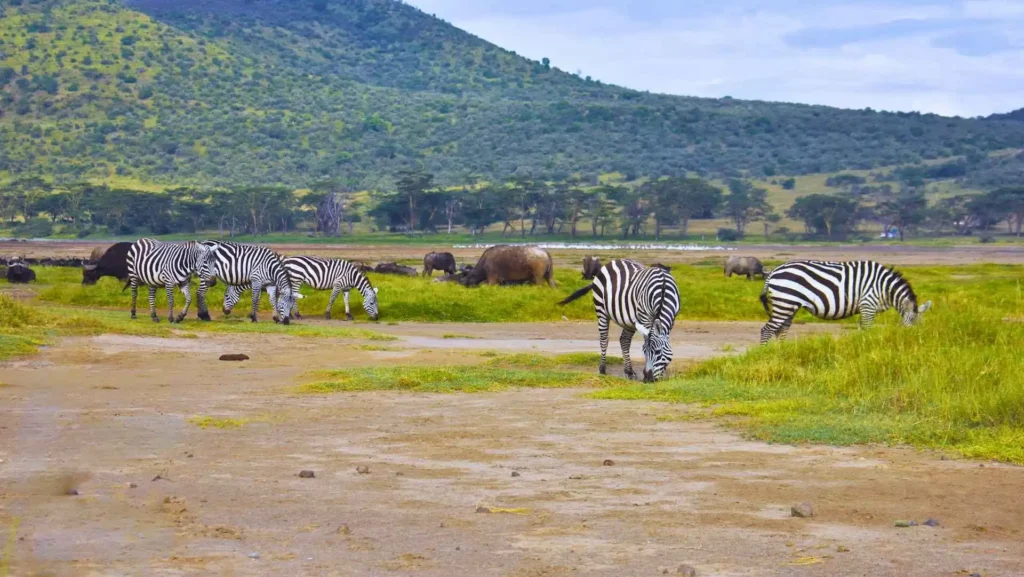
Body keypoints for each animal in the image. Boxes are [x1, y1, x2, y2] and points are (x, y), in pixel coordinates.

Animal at [222, 256, 379, 321]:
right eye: (372, 303)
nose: (377, 318)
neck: (352, 275)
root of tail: (286, 260)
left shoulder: (346, 288)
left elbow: (346, 301)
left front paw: (349, 315)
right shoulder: (338, 284)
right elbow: (332, 299)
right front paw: (327, 314)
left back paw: (290, 314)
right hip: (296, 280)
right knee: (293, 296)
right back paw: (296, 315)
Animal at [759, 260, 932, 344]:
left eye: (921, 325)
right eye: (911, 320)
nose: (915, 340)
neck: (884, 288)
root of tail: (773, 271)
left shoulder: (865, 308)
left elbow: (862, 329)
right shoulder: (868, 304)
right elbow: (867, 329)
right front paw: (867, 348)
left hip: (788, 305)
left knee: (781, 329)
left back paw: (780, 353)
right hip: (785, 302)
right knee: (768, 329)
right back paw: (767, 353)